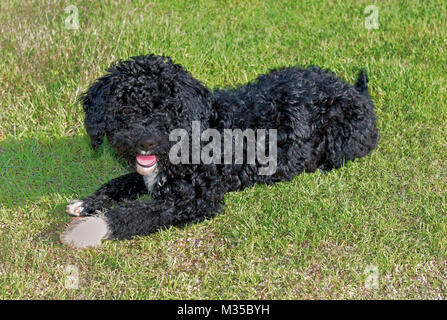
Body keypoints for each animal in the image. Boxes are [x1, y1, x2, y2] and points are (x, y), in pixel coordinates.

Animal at [61, 55, 380, 249]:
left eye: (166, 108)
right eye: (125, 108)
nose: (146, 142)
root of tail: (356, 92)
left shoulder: (195, 200)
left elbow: (134, 214)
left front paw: (88, 230)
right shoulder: (150, 176)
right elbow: (119, 182)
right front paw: (88, 203)